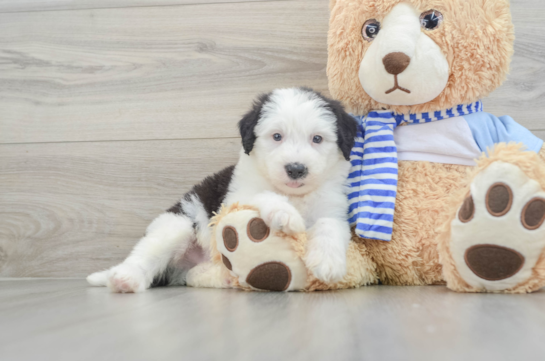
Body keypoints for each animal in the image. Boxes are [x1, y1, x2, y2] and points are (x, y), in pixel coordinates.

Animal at [87, 88, 360, 292]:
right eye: (277, 136)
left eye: (317, 139)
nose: (296, 169)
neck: (295, 195)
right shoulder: (236, 196)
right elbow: (262, 194)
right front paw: (285, 214)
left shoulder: (333, 206)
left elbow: (329, 225)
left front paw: (327, 262)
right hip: (176, 225)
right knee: (145, 254)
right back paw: (125, 278)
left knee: (194, 275)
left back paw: (224, 277)